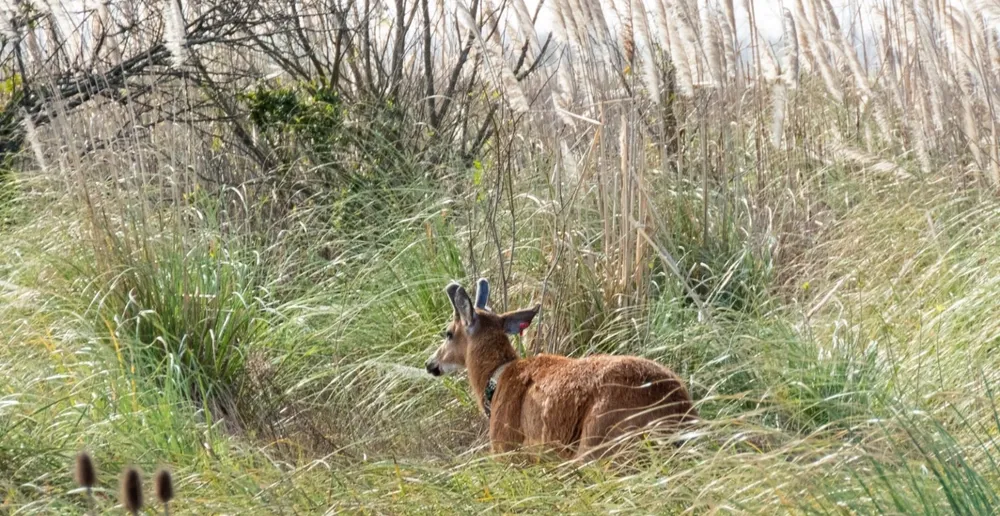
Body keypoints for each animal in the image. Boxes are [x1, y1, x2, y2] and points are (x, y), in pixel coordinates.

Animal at [425, 278, 699, 462]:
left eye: (448, 333)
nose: (430, 364)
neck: (497, 380)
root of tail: (678, 412)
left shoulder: (507, 448)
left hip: (598, 442)